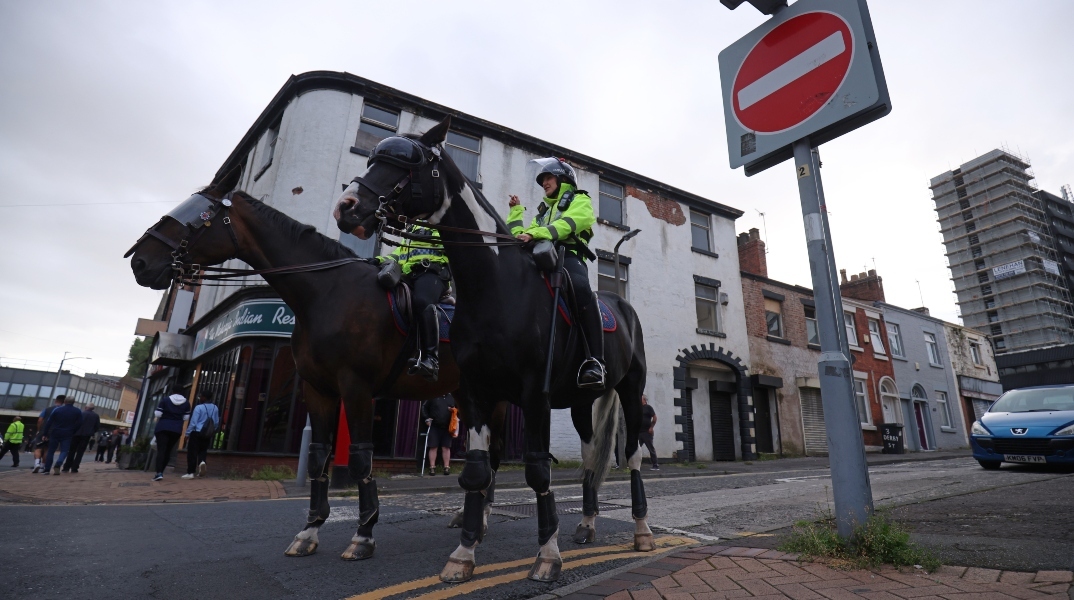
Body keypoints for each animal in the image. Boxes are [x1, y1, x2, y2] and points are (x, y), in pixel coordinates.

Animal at [123, 182, 463, 562]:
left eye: (197, 217)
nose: (139, 261)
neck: (328, 292)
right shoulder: (318, 389)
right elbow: (317, 457)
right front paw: (309, 531)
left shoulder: (356, 388)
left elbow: (361, 457)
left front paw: (363, 535)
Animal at [335, 117, 652, 583]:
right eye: (374, 156)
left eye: (407, 163)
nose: (347, 207)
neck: (498, 286)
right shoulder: (475, 394)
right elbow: (476, 472)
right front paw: (463, 554)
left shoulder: (534, 395)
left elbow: (538, 470)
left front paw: (547, 555)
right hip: (582, 403)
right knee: (591, 460)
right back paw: (587, 524)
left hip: (630, 390)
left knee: (632, 457)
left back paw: (642, 532)